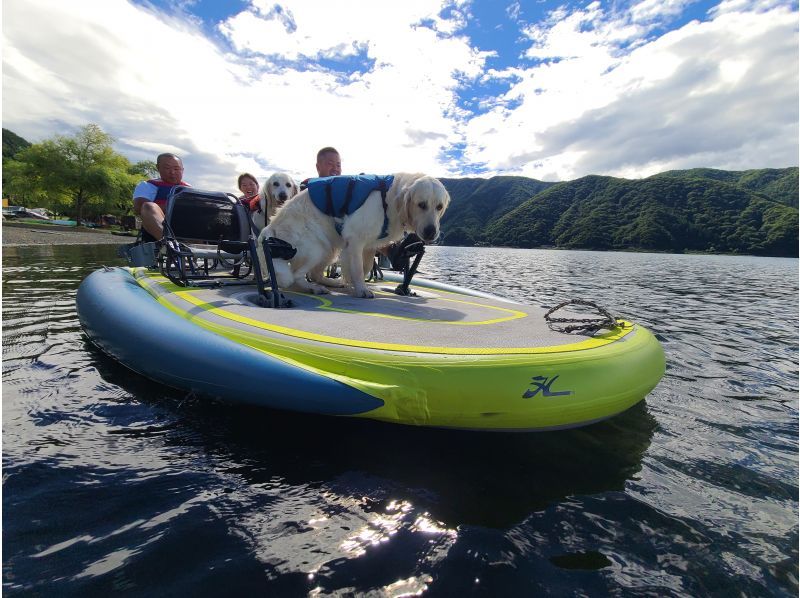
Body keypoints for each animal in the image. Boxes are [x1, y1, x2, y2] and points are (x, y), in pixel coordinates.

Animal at [260, 173, 454, 300]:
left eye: (439, 206)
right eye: (421, 204)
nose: (431, 232)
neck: (389, 199)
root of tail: (271, 226)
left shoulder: (368, 245)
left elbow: (366, 267)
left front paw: (353, 283)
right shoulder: (355, 239)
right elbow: (358, 269)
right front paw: (362, 290)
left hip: (329, 248)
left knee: (314, 273)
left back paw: (332, 283)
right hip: (316, 247)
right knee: (296, 276)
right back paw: (314, 289)